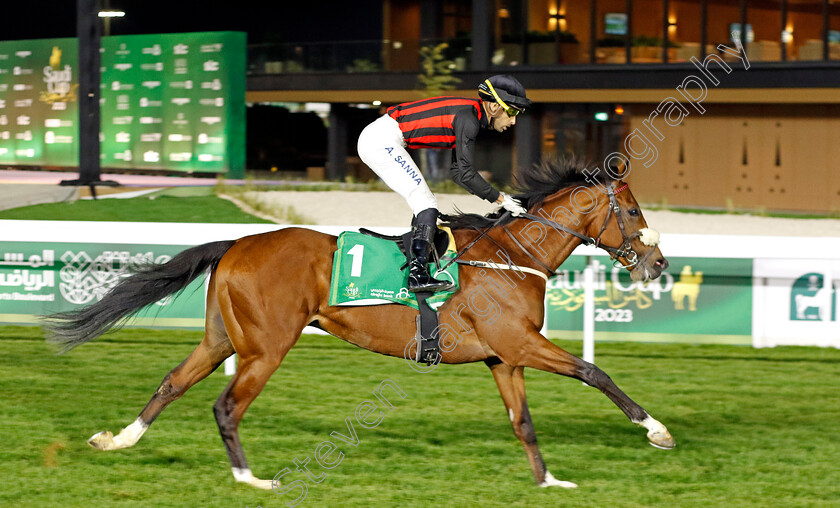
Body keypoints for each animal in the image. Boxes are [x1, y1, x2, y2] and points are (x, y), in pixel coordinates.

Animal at [46, 160, 676, 492]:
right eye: (634, 211)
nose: (659, 264)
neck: (510, 256)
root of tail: (237, 243)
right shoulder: (522, 342)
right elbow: (594, 372)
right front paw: (656, 430)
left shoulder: (504, 356)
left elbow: (522, 421)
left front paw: (548, 482)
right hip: (266, 347)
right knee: (226, 405)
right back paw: (251, 480)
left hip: (222, 337)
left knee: (173, 382)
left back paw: (118, 438)